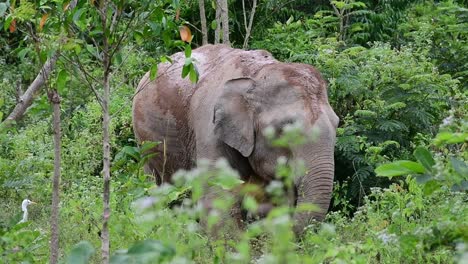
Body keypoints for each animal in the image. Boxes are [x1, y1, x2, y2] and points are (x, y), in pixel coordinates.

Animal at [133, 43, 338, 235]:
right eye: (285, 129)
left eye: (337, 124)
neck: (257, 75)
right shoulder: (208, 127)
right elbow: (216, 196)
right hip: (144, 144)